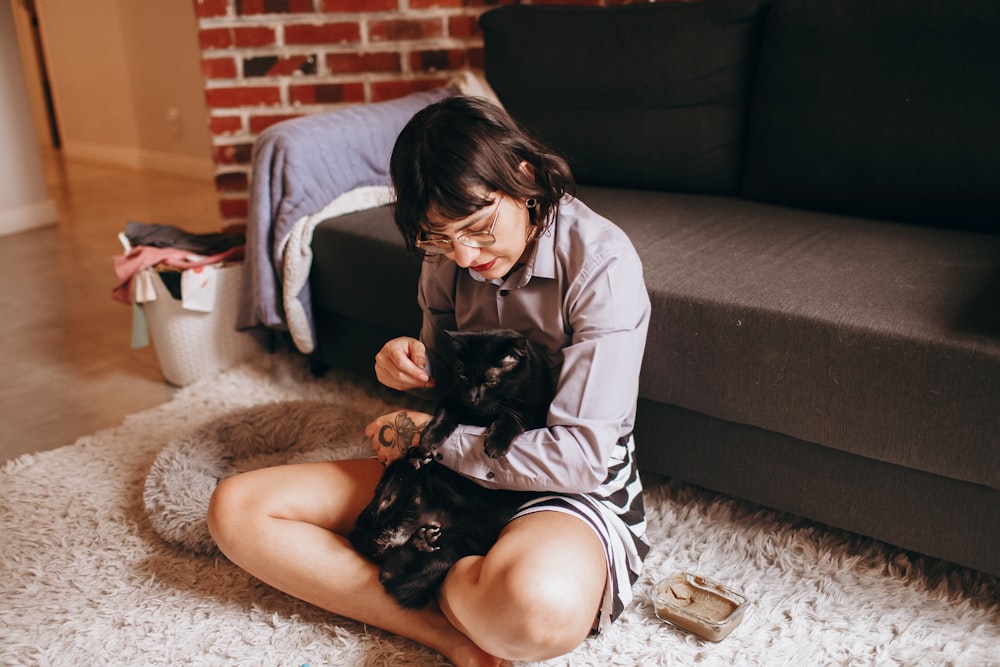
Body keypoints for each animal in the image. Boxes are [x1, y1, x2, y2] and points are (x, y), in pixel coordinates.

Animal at [350, 328, 556, 612]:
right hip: (396, 490)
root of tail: (402, 533)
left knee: (393, 577)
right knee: (380, 522)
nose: (472, 396)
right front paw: (429, 440)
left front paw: (495, 444)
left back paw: (420, 540)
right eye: (463, 375)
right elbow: (445, 414)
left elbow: (514, 418)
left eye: (490, 380)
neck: (483, 412)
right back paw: (412, 469)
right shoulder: (452, 399)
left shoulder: (534, 415)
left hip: (456, 548)